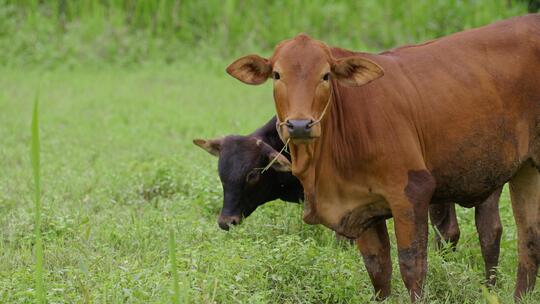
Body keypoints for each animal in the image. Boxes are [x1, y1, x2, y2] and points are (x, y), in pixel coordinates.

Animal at [227, 14, 540, 302]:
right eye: (277, 75)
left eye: (325, 75)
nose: (301, 125)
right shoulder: (362, 207)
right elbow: (378, 270)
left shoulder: (412, 193)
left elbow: (412, 267)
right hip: (526, 170)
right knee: (529, 239)